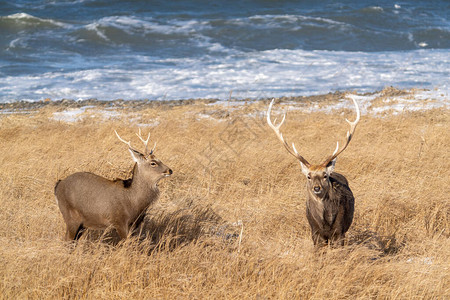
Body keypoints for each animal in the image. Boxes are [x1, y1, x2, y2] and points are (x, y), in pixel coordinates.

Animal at [268, 98, 358, 246]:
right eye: (308, 176)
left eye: (325, 175)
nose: (317, 188)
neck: (325, 223)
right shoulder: (315, 232)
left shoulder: (339, 232)